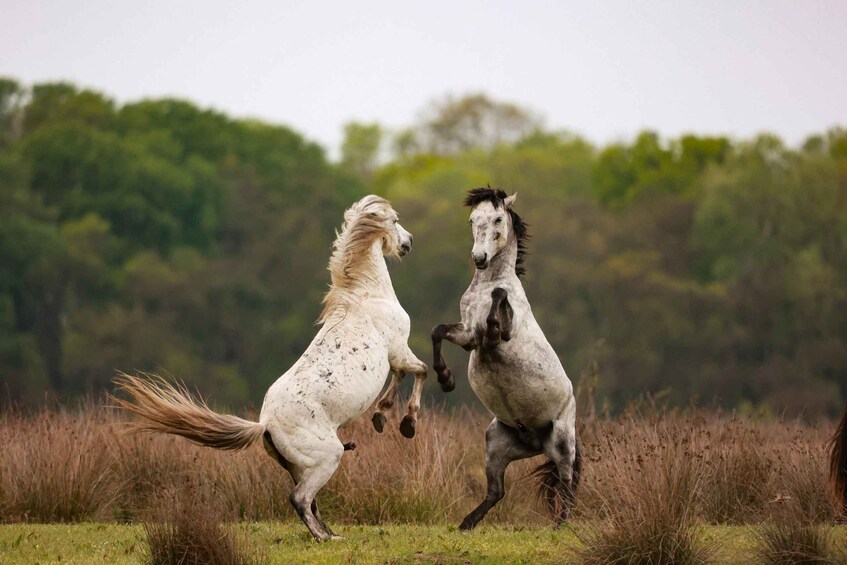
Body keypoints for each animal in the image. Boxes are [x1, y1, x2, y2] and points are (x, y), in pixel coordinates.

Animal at [111, 194, 429, 541]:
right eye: (395, 221)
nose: (409, 242)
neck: (366, 295)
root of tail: (265, 424)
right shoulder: (399, 350)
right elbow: (421, 370)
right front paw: (406, 422)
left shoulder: (396, 357)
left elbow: (403, 376)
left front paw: (382, 415)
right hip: (327, 457)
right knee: (300, 499)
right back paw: (323, 538)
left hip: (300, 466)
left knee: (309, 501)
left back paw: (330, 534)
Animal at [431, 187, 581, 530]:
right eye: (473, 219)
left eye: (498, 219)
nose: (479, 258)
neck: (485, 285)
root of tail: (536, 442)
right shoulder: (467, 335)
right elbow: (437, 331)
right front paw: (446, 379)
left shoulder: (502, 333)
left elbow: (499, 302)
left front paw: (494, 322)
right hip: (495, 444)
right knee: (496, 492)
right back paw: (467, 523)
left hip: (562, 442)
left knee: (566, 486)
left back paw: (560, 526)